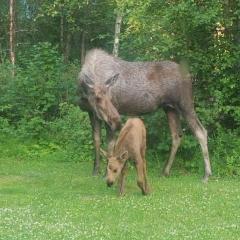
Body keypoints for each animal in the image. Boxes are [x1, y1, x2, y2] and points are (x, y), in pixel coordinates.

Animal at [78, 48, 211, 181]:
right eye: (97, 98)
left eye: (111, 97)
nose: (117, 121)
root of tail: (189, 75)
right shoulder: (92, 113)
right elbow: (96, 140)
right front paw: (95, 171)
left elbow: (110, 145)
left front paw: (106, 174)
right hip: (170, 108)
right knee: (176, 136)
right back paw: (165, 171)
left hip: (185, 105)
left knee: (201, 131)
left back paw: (206, 175)